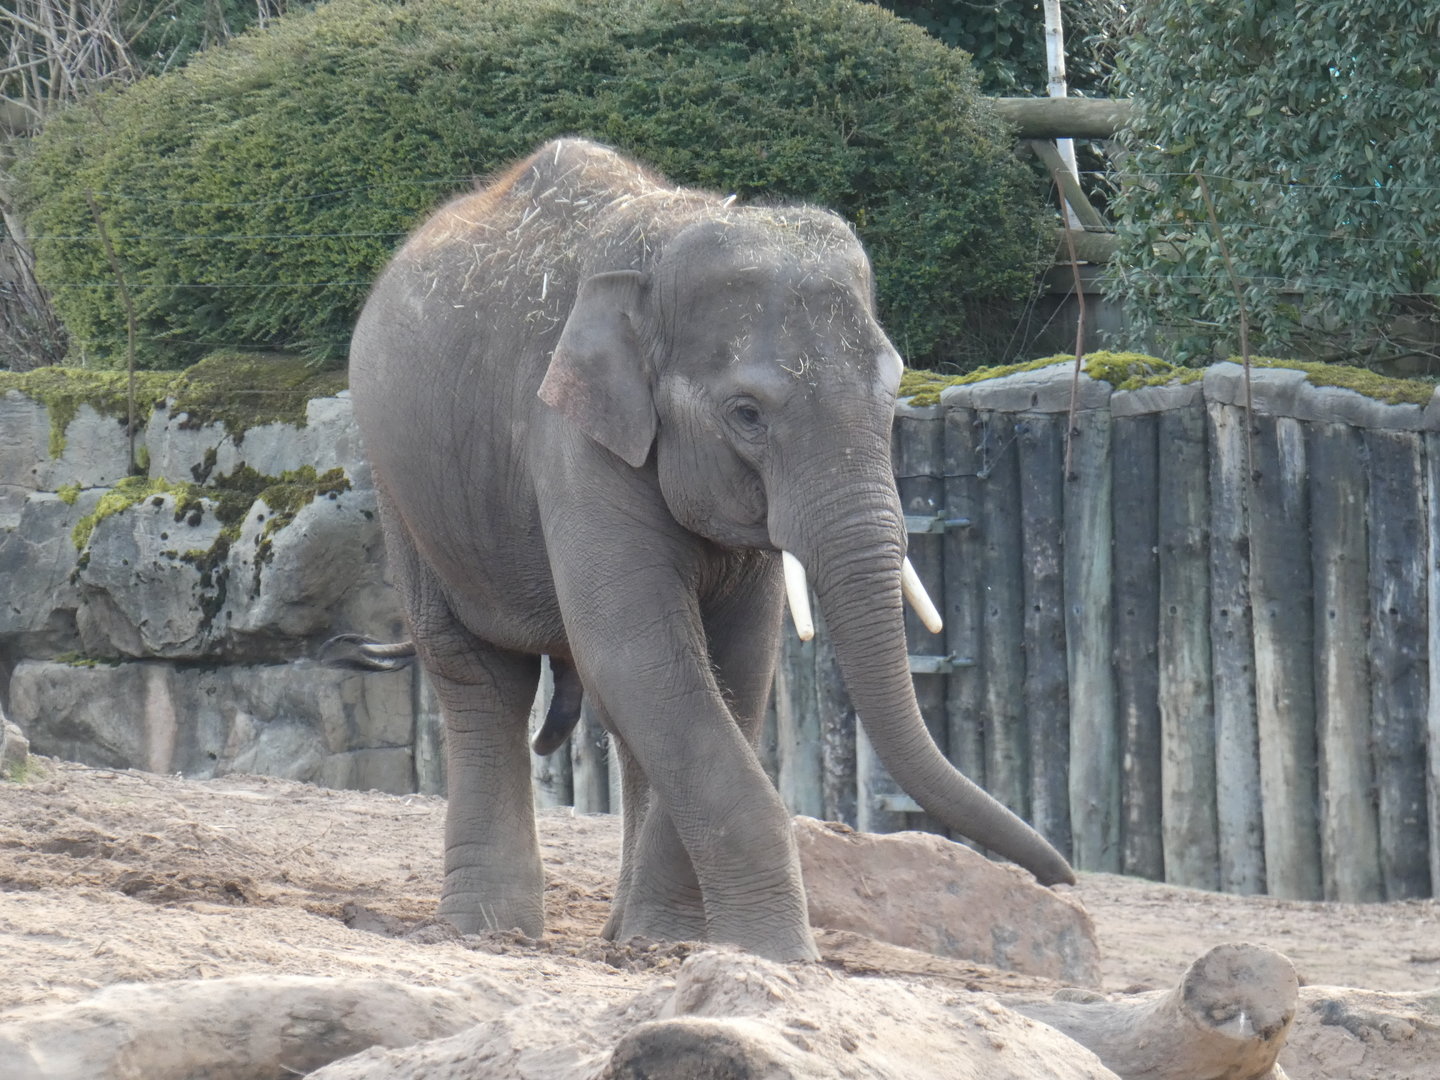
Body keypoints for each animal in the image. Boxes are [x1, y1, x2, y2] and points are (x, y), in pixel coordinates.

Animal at [346, 138, 1074, 963]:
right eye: (747, 414)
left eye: (893, 395)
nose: (1064, 880)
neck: (670, 238)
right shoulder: (570, 436)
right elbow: (640, 653)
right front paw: (777, 956)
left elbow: (732, 666)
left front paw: (671, 944)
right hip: (401, 484)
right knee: (477, 673)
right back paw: (489, 931)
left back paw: (618, 936)